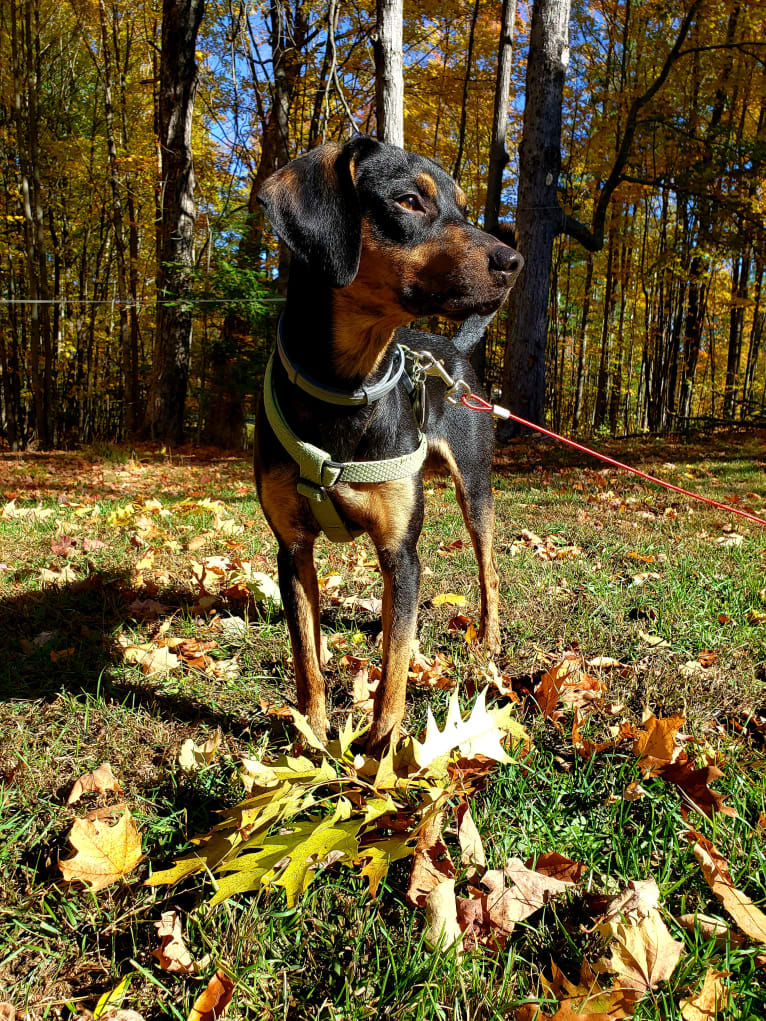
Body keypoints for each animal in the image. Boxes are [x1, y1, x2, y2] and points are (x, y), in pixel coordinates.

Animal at [255, 135, 527, 755]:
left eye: (462, 208)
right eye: (408, 201)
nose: (513, 263)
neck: (347, 385)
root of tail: (452, 353)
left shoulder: (400, 552)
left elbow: (395, 668)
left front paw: (380, 755)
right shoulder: (292, 547)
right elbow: (306, 657)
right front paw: (313, 737)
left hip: (476, 487)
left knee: (489, 570)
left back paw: (489, 639)